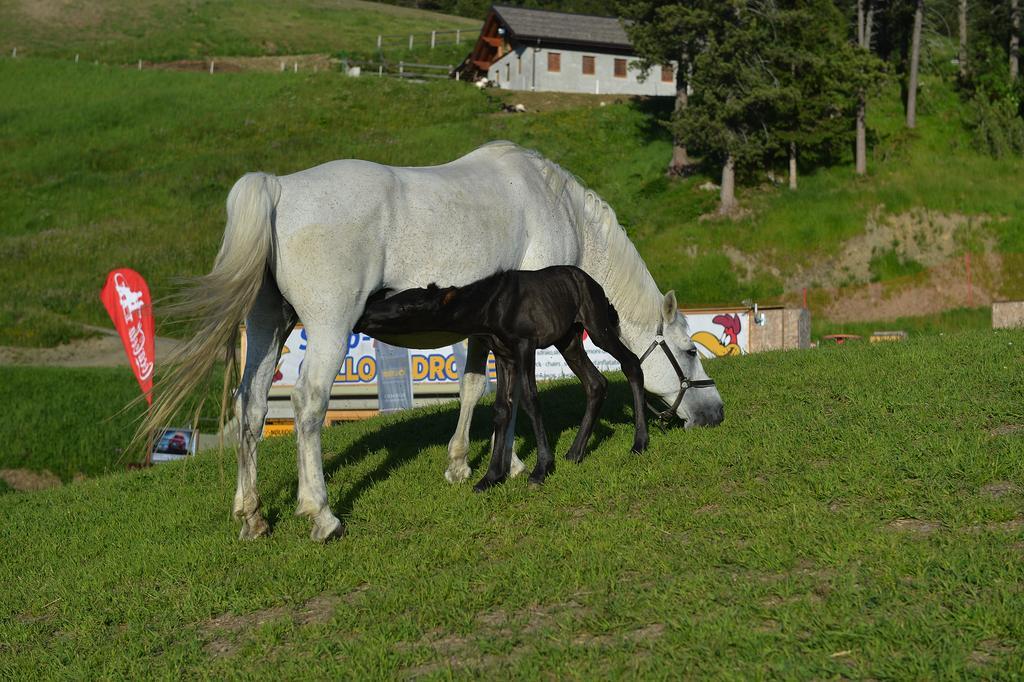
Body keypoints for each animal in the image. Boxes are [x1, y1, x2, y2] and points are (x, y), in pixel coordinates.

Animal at [354, 264, 647, 489]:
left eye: (407, 308)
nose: (363, 315)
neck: (492, 309)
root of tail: (596, 285)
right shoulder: (504, 354)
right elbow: (501, 408)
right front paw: (491, 477)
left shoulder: (525, 344)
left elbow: (530, 400)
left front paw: (540, 470)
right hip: (569, 340)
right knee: (596, 383)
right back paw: (575, 453)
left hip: (597, 325)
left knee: (631, 363)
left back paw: (639, 444)